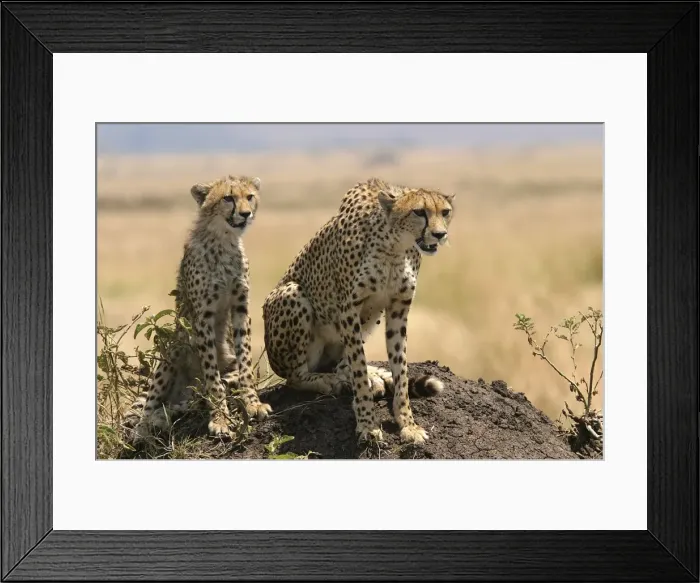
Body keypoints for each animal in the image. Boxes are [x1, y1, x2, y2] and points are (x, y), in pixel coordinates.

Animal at [125, 174, 272, 444]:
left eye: (250, 197)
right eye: (228, 198)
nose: (245, 213)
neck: (224, 240)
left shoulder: (240, 308)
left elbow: (245, 362)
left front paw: (252, 402)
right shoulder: (203, 316)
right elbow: (212, 374)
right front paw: (220, 419)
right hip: (174, 349)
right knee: (151, 405)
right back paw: (144, 429)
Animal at [261, 177, 455, 445]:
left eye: (445, 212)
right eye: (419, 212)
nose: (440, 234)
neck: (395, 246)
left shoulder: (398, 307)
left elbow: (400, 367)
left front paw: (407, 422)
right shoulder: (348, 308)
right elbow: (359, 367)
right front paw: (367, 423)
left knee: (341, 364)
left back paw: (373, 377)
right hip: (293, 295)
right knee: (296, 375)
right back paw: (332, 381)